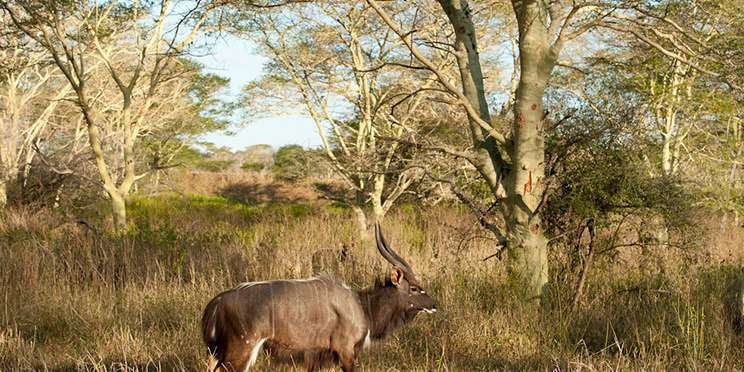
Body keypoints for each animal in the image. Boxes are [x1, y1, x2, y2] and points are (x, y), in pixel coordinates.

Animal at [201, 222, 438, 370]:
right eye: (414, 288)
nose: (434, 305)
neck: (362, 306)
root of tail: (216, 303)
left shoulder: (315, 356)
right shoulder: (345, 352)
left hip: (216, 353)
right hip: (240, 350)